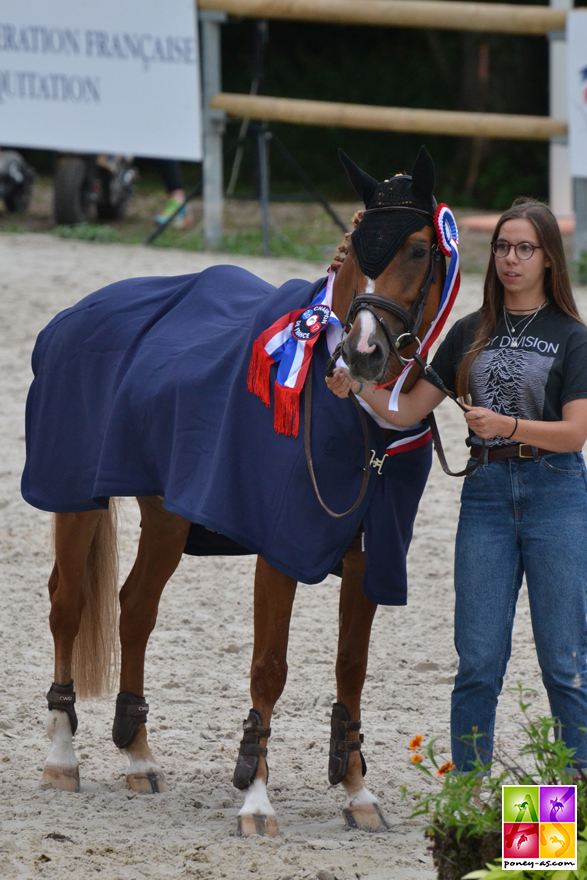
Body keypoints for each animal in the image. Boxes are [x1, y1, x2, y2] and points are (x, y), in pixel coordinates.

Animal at [28, 148, 446, 836]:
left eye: (416, 248)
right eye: (360, 245)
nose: (363, 352)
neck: (348, 414)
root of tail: (78, 312)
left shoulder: (368, 555)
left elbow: (351, 669)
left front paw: (357, 792)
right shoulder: (280, 547)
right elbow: (269, 666)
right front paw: (256, 796)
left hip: (167, 514)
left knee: (135, 607)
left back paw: (138, 757)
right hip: (74, 498)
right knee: (68, 605)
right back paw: (62, 757)